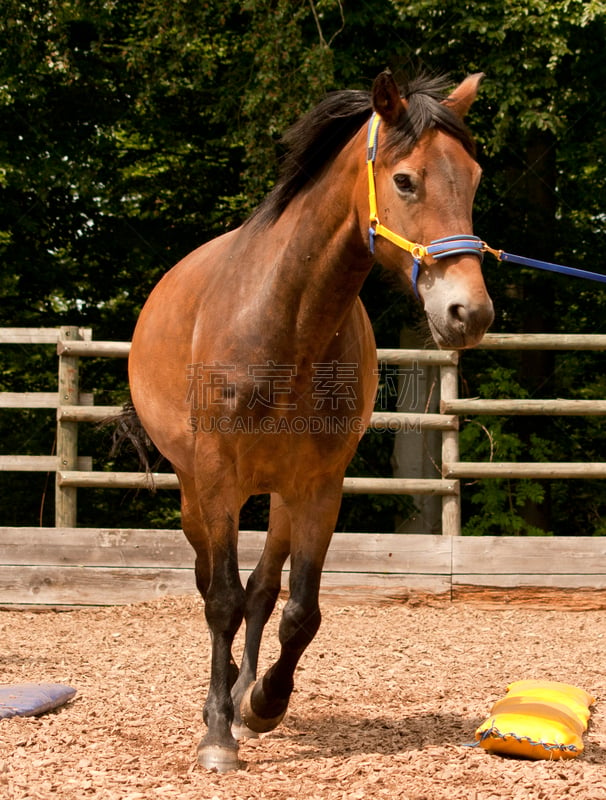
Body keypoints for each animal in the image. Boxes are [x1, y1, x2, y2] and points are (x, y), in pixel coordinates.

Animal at [128, 72, 494, 772]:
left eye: (474, 178)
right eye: (405, 180)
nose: (470, 312)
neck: (285, 324)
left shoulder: (321, 487)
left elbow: (299, 610)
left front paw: (262, 704)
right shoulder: (217, 479)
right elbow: (221, 599)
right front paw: (217, 735)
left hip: (279, 496)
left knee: (263, 591)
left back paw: (244, 692)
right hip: (196, 493)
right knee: (216, 587)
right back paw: (220, 702)